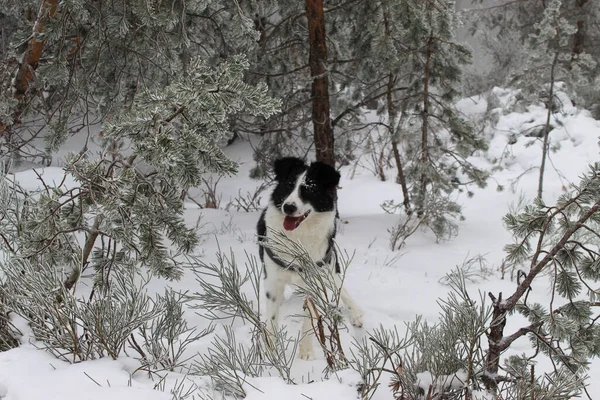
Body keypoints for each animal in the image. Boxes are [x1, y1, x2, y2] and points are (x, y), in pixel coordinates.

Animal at [255, 158, 364, 360]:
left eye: (309, 190)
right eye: (289, 186)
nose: (288, 207)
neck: (299, 235)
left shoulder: (315, 282)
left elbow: (309, 318)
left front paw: (306, 351)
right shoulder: (272, 280)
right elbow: (272, 319)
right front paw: (271, 353)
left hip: (330, 269)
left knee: (340, 287)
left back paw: (355, 312)